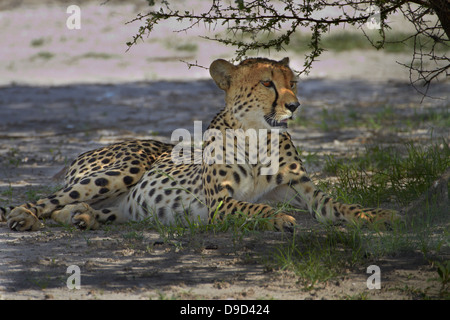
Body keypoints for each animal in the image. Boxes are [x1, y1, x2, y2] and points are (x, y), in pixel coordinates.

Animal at [1, 57, 400, 231]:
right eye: (268, 83)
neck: (257, 134)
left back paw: (81, 217)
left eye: (294, 82)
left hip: (121, 207)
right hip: (123, 170)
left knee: (68, 209)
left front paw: (379, 215)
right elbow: (255, 207)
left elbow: (342, 205)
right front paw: (279, 218)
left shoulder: (306, 190)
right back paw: (24, 216)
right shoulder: (220, 203)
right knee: (44, 202)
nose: (294, 105)